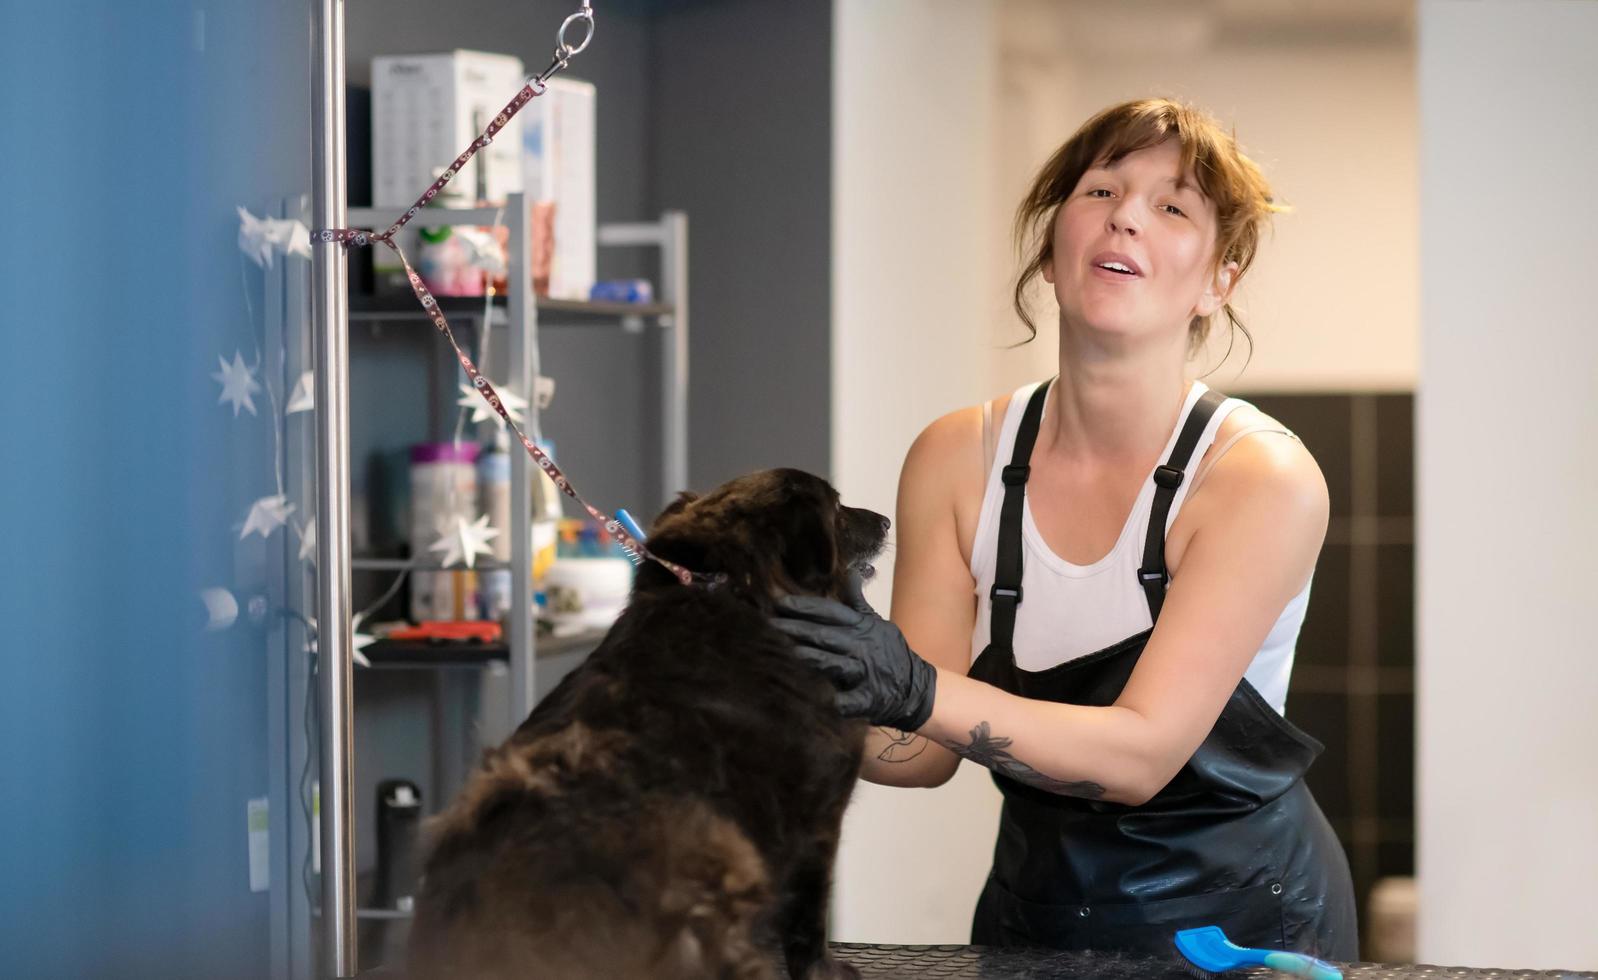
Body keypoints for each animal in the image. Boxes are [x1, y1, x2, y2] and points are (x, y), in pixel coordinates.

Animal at [405, 466, 888, 978]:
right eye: (837, 508)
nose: (886, 521)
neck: (740, 593)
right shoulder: (820, 813)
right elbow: (808, 920)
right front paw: (828, 971)